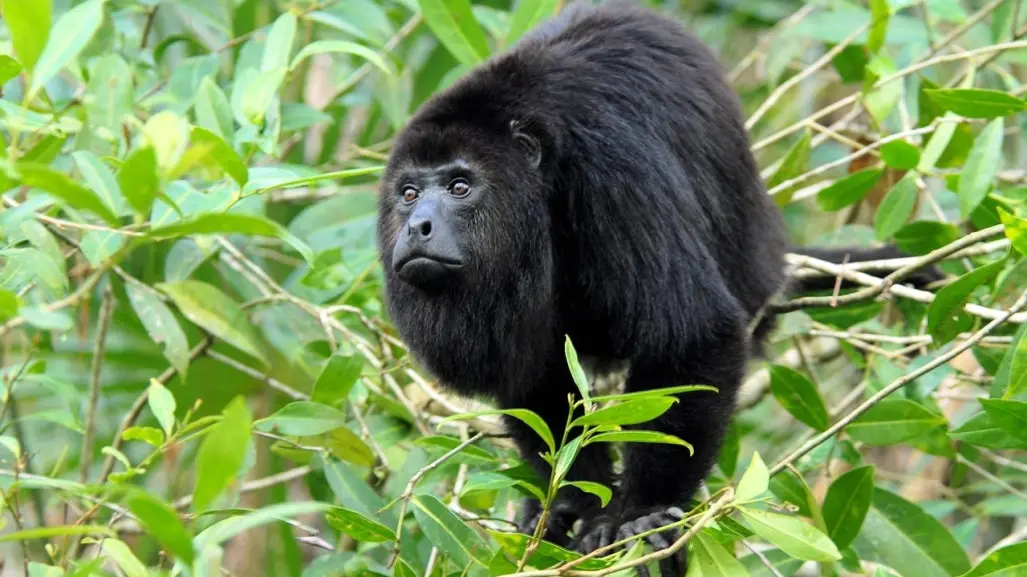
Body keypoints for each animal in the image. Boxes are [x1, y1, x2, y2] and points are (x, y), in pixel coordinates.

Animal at [375, 2, 940, 570]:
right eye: (409, 193)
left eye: (460, 186)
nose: (417, 226)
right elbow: (535, 377)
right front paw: (578, 508)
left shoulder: (611, 168)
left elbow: (693, 334)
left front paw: (641, 515)